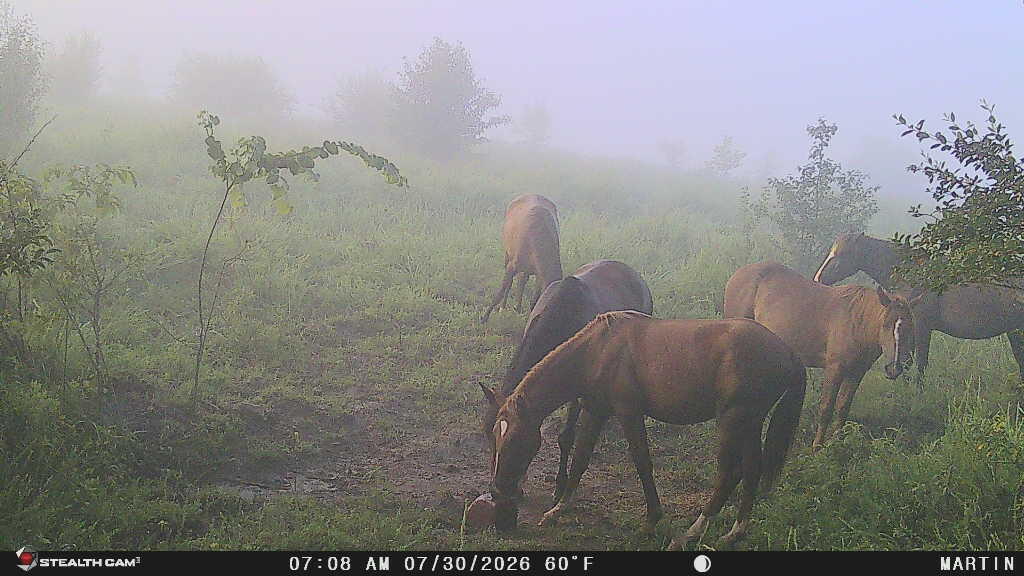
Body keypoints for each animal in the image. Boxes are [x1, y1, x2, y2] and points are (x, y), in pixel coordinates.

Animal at [480, 260, 653, 502]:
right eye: (488, 432)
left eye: (517, 442)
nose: (496, 491)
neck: (561, 317)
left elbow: (566, 437)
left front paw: (560, 485)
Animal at [481, 194, 562, 323]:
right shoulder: (512, 265)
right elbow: (501, 292)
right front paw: (485, 317)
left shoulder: (539, 273)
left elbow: (534, 300)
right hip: (507, 254)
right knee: (514, 283)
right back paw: (503, 308)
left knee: (522, 282)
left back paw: (518, 308)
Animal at [490, 310, 806, 550]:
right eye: (495, 436)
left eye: (516, 441)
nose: (498, 489)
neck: (598, 350)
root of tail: (788, 352)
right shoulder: (595, 411)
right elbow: (580, 459)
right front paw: (558, 510)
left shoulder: (629, 413)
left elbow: (642, 463)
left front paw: (652, 520)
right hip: (751, 422)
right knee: (752, 470)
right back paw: (735, 533)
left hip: (732, 421)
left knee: (728, 473)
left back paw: (689, 534)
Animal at [724, 262, 916, 449]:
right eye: (885, 324)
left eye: (909, 327)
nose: (894, 368)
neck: (857, 321)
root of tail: (737, 275)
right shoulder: (834, 369)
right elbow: (826, 407)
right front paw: (817, 446)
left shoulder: (856, 372)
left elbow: (843, 407)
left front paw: (837, 442)